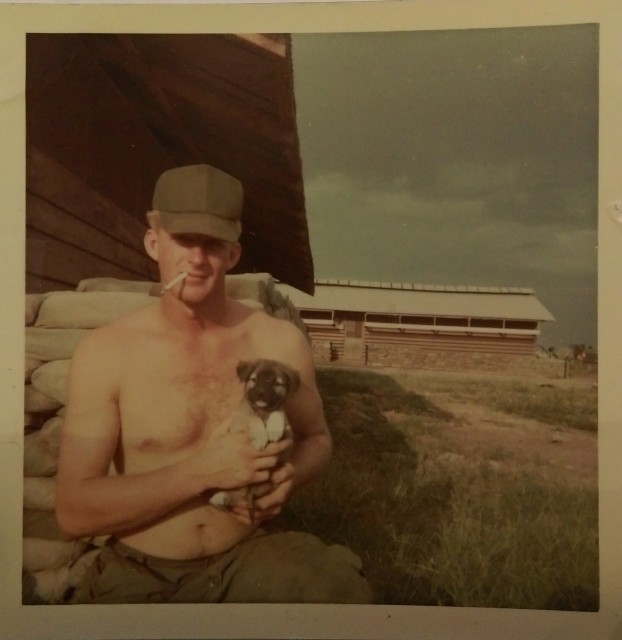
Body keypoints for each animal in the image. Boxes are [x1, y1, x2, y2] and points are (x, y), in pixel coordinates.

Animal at [210, 360, 302, 516]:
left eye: (277, 383)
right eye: (254, 379)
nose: (261, 392)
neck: (263, 412)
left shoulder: (288, 439)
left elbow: (278, 412)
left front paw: (274, 429)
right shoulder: (239, 423)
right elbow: (251, 417)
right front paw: (260, 438)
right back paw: (219, 497)